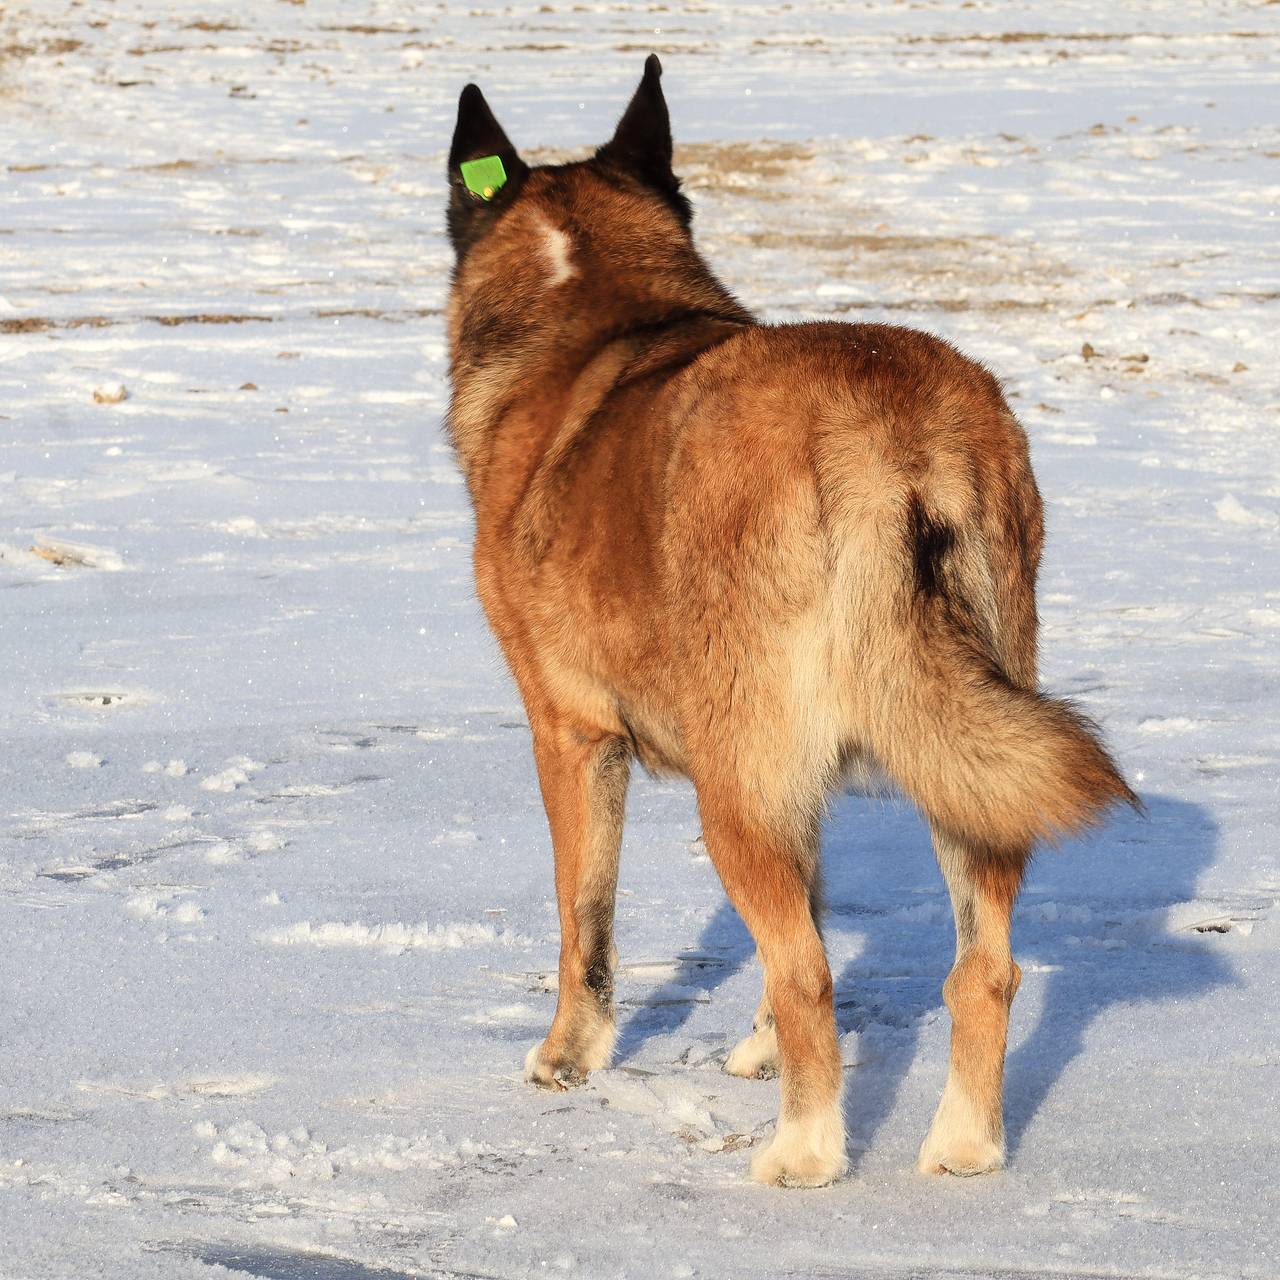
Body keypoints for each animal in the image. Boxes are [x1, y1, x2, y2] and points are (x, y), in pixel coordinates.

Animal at [445, 57, 1136, 1187]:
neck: (596, 310)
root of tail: (887, 435)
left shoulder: (573, 736)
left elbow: (584, 921)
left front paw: (566, 1057)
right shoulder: (797, 774)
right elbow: (804, 905)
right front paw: (762, 1048)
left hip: (735, 788)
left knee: (812, 971)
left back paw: (804, 1155)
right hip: (963, 758)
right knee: (981, 968)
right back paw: (961, 1146)